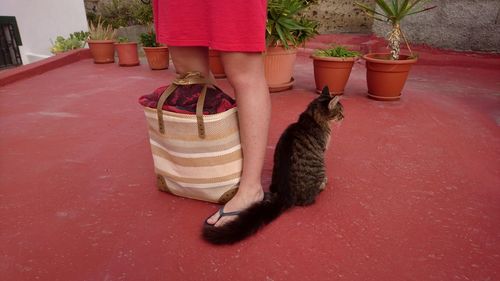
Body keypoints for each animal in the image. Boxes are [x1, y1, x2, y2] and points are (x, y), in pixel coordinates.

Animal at [202, 87, 344, 243]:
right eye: (340, 111)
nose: (344, 116)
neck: (311, 118)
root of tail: (285, 195)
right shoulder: (323, 150)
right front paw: (325, 181)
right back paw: (321, 186)